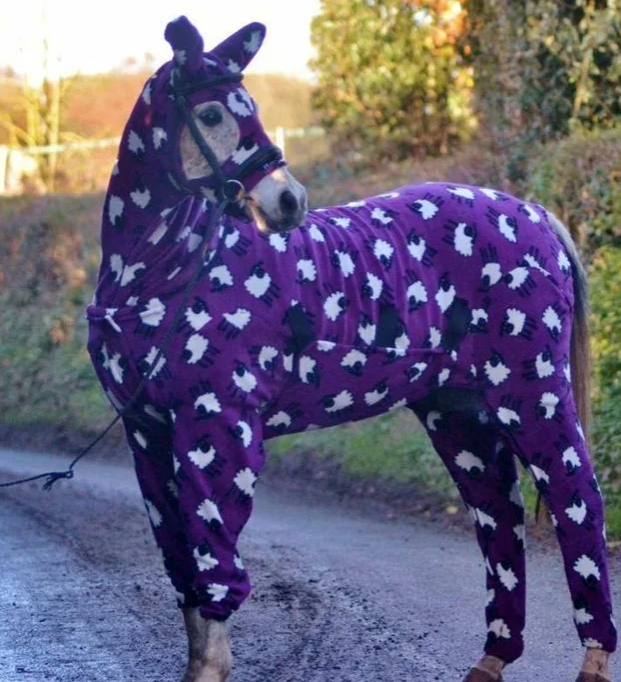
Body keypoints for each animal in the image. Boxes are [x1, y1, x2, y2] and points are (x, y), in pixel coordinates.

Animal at [86, 15, 616, 682]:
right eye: (210, 113)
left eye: (250, 105)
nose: (290, 201)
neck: (167, 271)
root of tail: (536, 212)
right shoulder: (147, 436)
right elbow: (183, 568)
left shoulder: (217, 429)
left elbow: (215, 566)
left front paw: (212, 666)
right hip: (460, 417)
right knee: (500, 517)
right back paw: (492, 657)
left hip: (533, 394)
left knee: (579, 505)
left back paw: (593, 659)